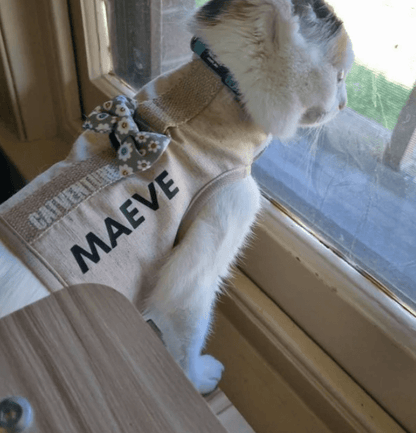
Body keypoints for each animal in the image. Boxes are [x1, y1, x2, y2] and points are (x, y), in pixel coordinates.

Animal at [0, 0, 354, 394]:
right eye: (340, 76)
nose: (344, 104)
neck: (215, 87)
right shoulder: (197, 272)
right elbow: (187, 336)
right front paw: (198, 379)